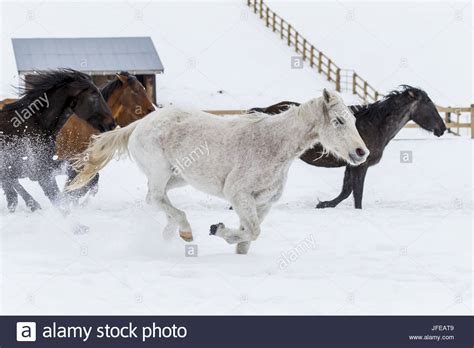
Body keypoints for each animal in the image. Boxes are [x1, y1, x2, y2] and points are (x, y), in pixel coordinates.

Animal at [0, 69, 115, 212]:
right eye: (94, 96)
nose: (112, 124)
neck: (36, 123)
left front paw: (73, 196)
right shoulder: (42, 172)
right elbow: (56, 198)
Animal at [67, 89, 370, 253]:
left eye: (354, 120)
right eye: (338, 121)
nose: (361, 152)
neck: (273, 146)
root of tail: (139, 124)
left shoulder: (264, 203)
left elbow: (249, 236)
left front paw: (232, 242)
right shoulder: (239, 195)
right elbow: (252, 231)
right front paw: (218, 230)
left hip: (178, 177)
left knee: (155, 199)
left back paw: (170, 232)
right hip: (160, 170)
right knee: (156, 197)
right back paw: (185, 230)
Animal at [250, 86, 446, 209]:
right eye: (428, 102)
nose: (442, 128)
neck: (375, 125)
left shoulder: (351, 164)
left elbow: (346, 191)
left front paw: (323, 204)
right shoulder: (360, 165)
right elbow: (356, 194)